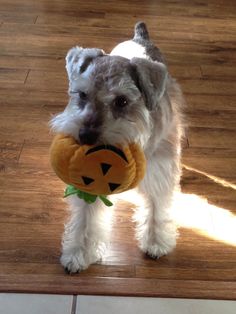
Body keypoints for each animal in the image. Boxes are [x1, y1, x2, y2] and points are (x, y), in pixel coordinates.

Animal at [50, 21, 184, 272]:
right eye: (82, 94)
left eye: (122, 101)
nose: (85, 136)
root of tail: (140, 37)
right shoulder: (90, 181)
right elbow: (86, 219)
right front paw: (78, 253)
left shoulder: (158, 174)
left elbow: (157, 209)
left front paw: (155, 242)